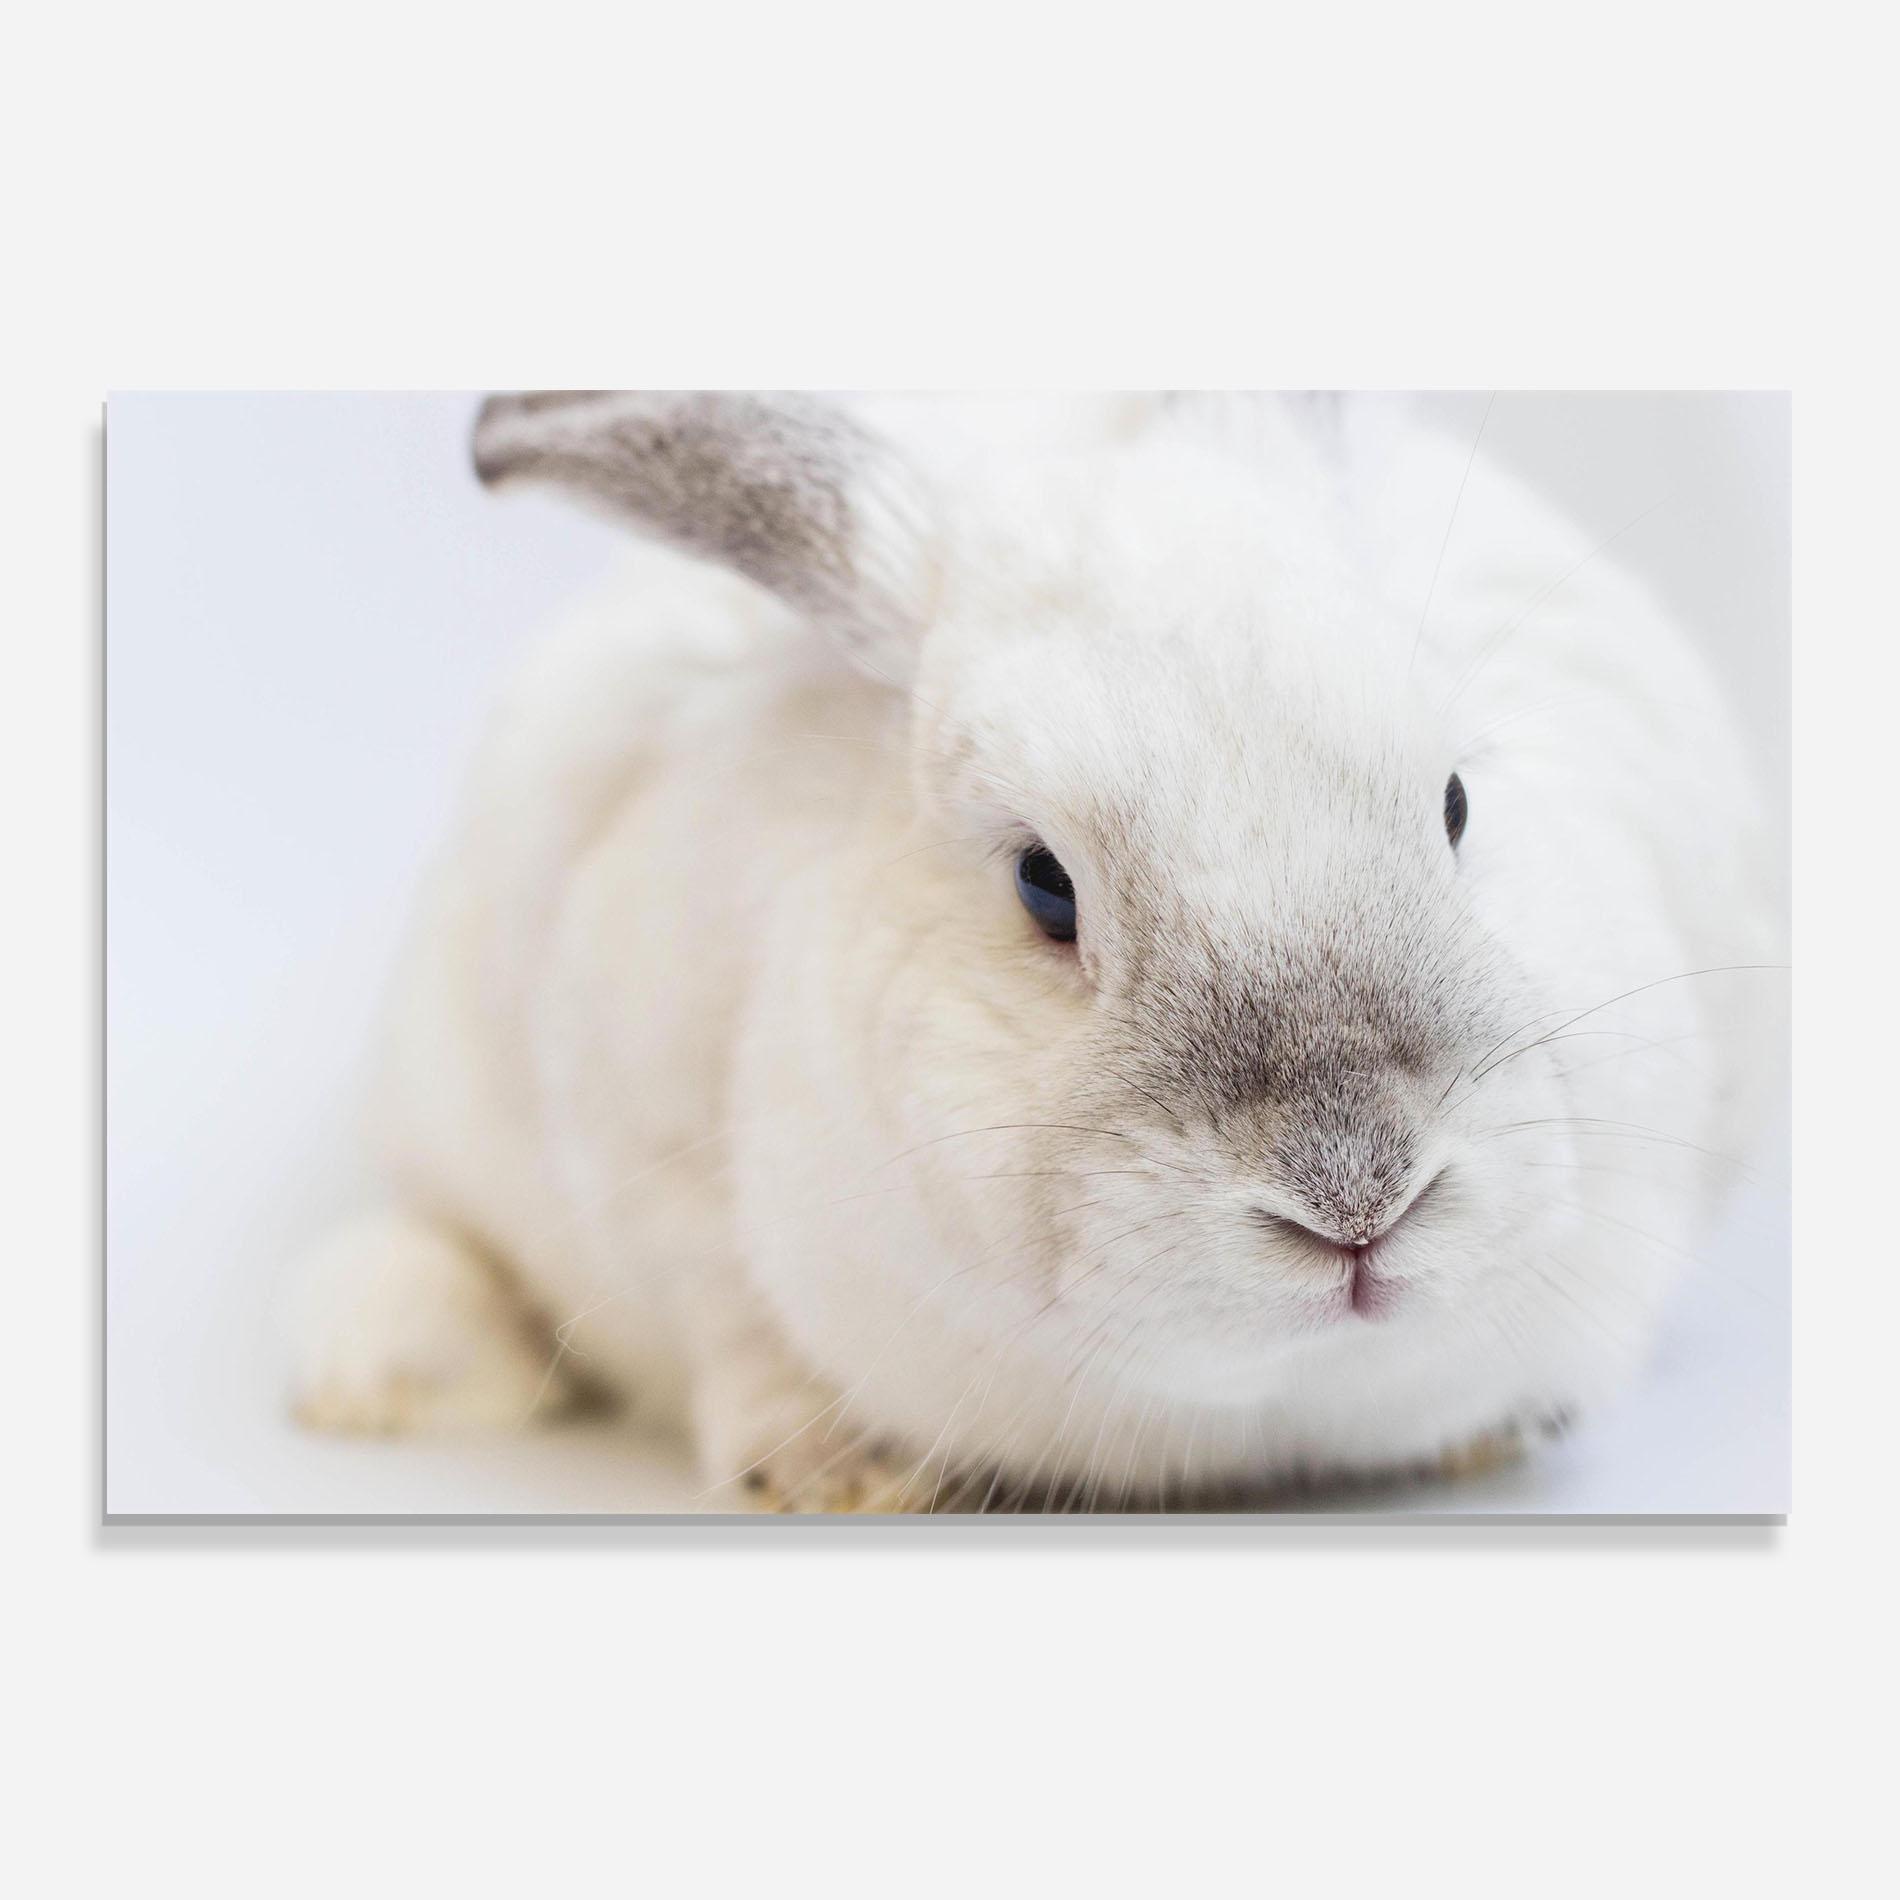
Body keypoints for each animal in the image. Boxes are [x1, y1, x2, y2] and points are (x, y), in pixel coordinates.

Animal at [292, 391, 1783, 1511]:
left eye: (1459, 803)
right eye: (1043, 886)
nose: (1357, 1194)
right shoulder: (645, 1151)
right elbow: (732, 1327)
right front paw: (842, 1474)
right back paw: (376, 1375)